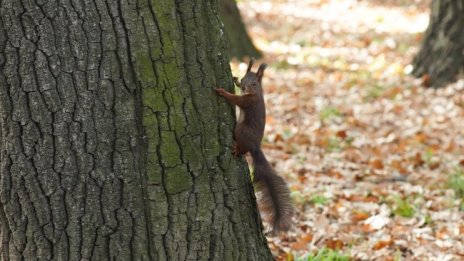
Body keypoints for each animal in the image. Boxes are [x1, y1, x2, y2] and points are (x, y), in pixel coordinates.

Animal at [215, 59, 294, 232]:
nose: (244, 87)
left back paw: (236, 149)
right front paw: (235, 80)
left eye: (254, 83)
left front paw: (223, 92)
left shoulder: (248, 101)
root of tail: (255, 146)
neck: (257, 93)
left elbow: (235, 99)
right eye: (244, 78)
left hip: (241, 130)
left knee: (242, 147)